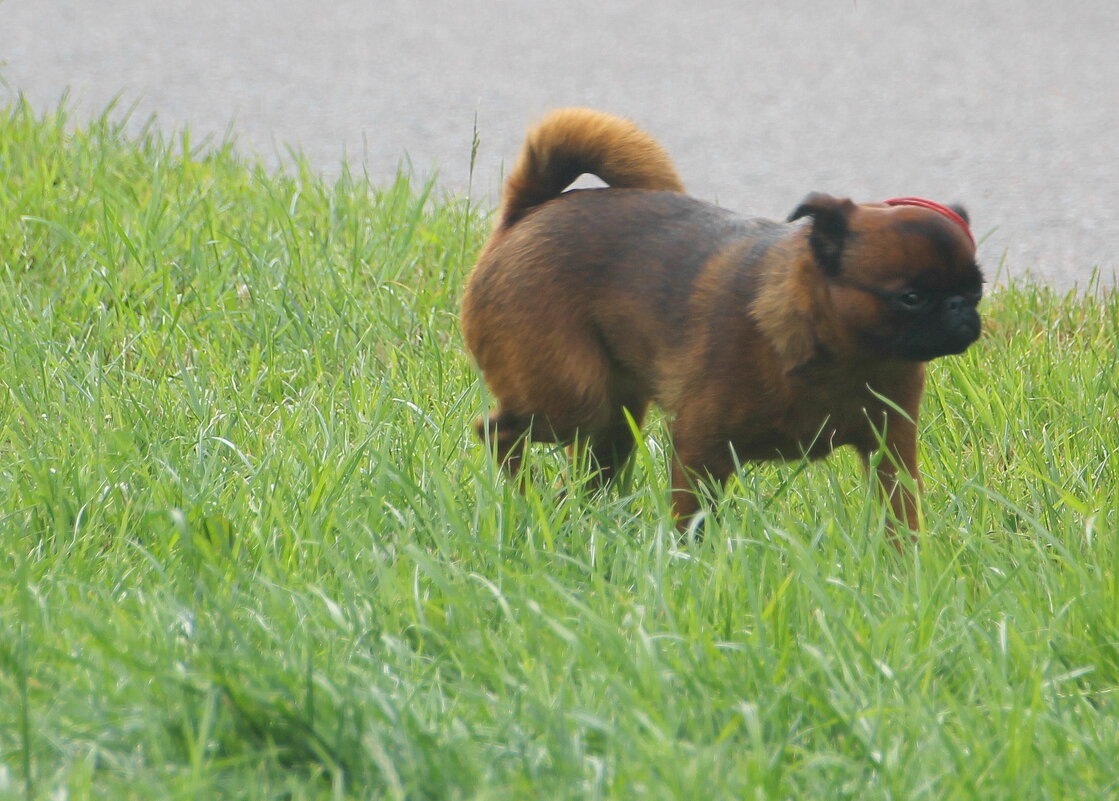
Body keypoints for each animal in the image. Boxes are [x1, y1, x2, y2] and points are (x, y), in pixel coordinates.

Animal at [458, 107, 984, 543]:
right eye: (911, 298)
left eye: (977, 289)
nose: (959, 307)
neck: (839, 357)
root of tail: (526, 214)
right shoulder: (700, 449)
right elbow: (689, 518)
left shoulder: (891, 450)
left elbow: (902, 514)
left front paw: (907, 564)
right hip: (573, 398)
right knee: (497, 431)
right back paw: (528, 498)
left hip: (614, 418)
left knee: (589, 468)